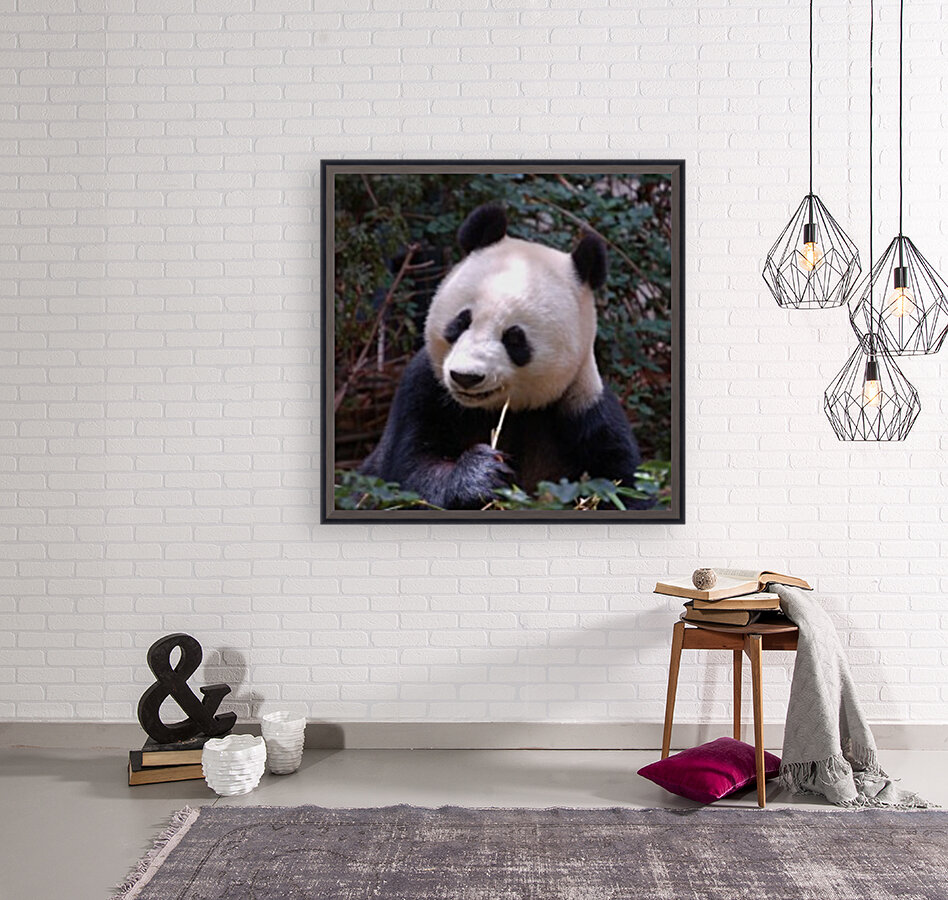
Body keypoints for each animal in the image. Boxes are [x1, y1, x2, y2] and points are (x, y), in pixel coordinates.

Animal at [360, 203, 650, 510]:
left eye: (514, 338)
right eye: (461, 322)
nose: (465, 377)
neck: (501, 410)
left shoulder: (582, 406)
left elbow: (622, 484)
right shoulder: (423, 390)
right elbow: (407, 473)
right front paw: (481, 474)